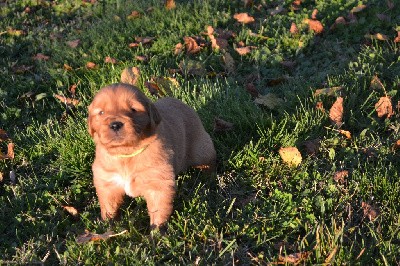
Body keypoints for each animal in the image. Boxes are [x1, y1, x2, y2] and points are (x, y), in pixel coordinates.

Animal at [88, 82, 216, 229]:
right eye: (101, 113)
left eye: (133, 110)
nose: (115, 125)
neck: (127, 153)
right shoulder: (107, 181)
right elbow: (109, 207)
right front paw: (107, 226)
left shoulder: (158, 182)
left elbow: (158, 210)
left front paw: (157, 231)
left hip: (201, 150)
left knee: (210, 160)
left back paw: (209, 177)